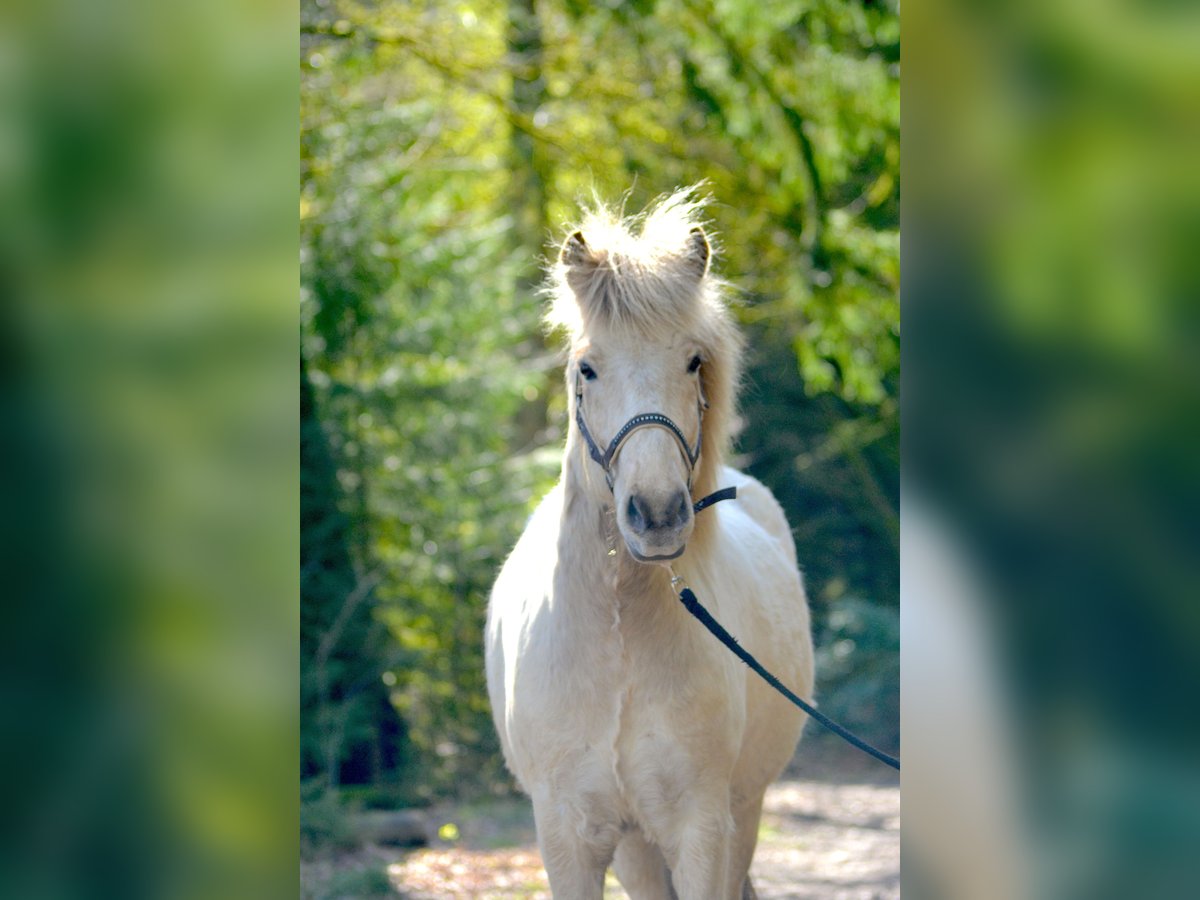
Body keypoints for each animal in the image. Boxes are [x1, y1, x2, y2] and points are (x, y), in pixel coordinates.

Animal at [487, 192, 816, 900]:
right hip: (637, 842)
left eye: (692, 361)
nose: (659, 515)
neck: (618, 632)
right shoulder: (568, 840)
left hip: (742, 814)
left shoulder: (703, 832)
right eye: (587, 367)